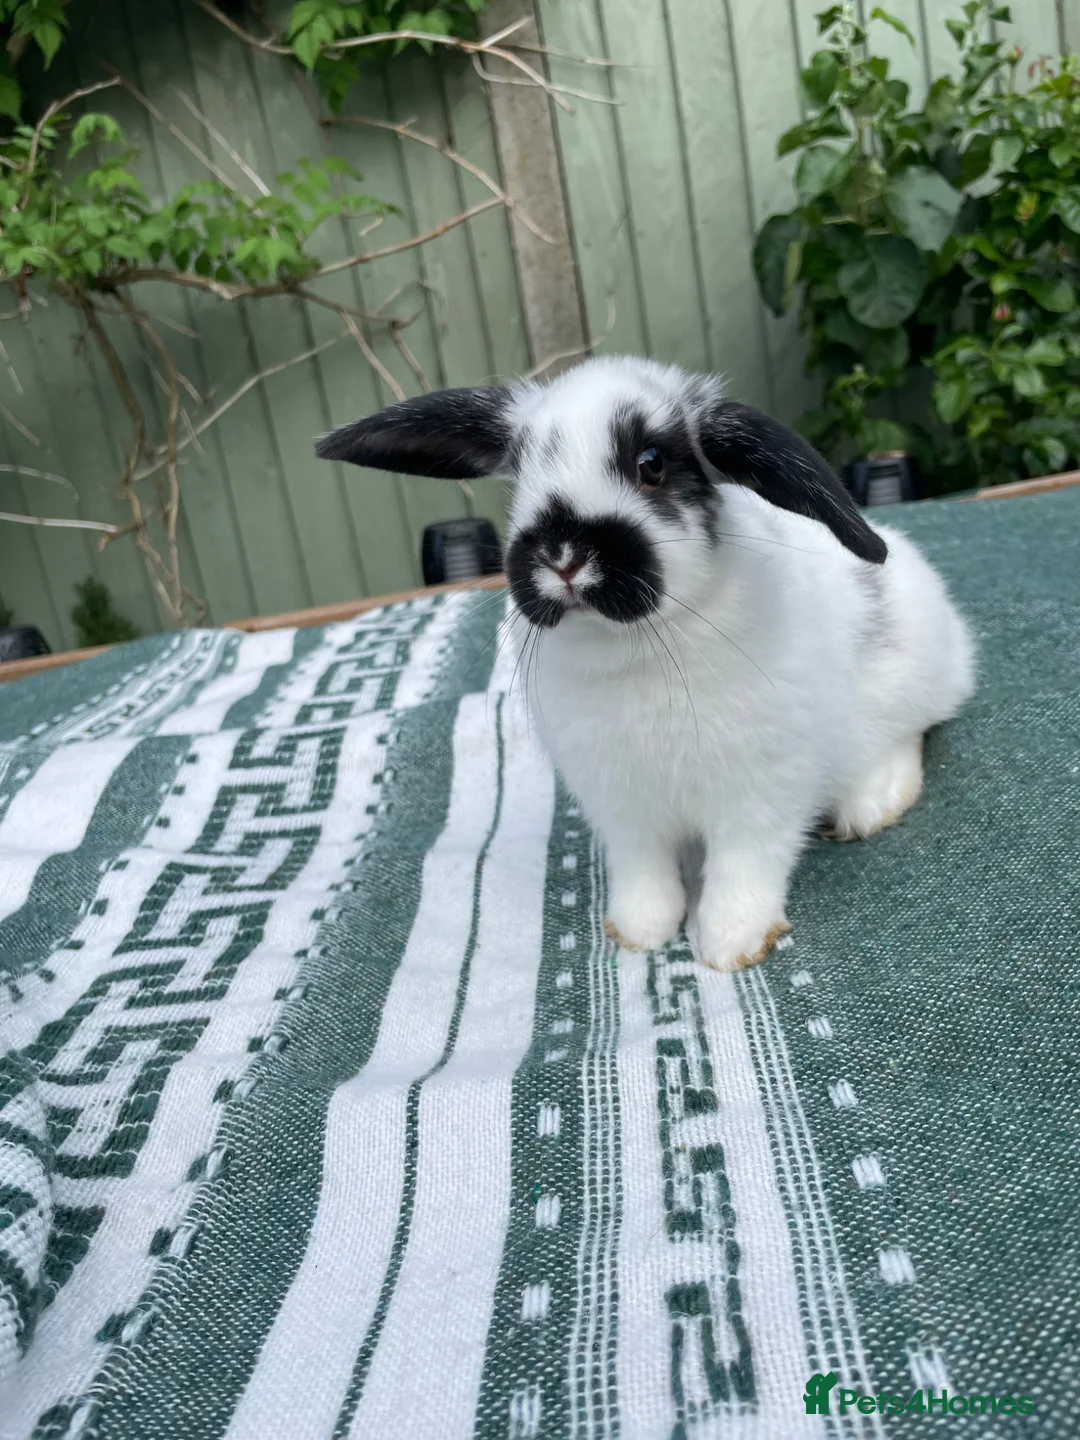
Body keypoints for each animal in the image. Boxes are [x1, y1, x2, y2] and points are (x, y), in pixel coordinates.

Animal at [315, 355, 975, 972]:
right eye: (522, 470)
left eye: (652, 464)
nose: (563, 555)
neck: (633, 645)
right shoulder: (621, 805)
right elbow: (644, 869)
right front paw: (638, 933)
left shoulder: (759, 793)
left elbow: (744, 865)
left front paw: (730, 946)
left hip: (904, 685)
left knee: (909, 733)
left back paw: (872, 804)